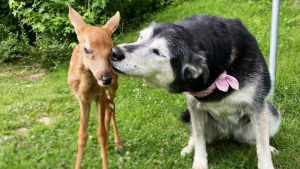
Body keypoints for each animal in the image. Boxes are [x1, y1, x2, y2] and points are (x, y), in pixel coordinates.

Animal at [110, 15, 282, 168]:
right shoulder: (194, 107)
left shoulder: (256, 107)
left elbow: (262, 146)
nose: (114, 52)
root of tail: (228, 132)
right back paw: (188, 148)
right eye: (140, 36)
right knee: (196, 136)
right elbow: (199, 139)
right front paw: (199, 162)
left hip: (272, 114)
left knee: (255, 139)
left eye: (158, 52)